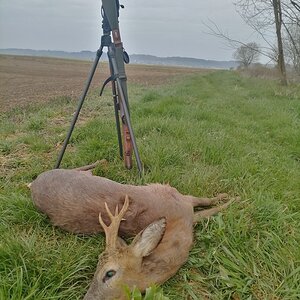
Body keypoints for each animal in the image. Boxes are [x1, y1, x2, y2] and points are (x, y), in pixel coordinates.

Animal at [31, 168, 237, 298]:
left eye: (109, 273)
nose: (87, 298)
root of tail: (33, 184)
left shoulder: (180, 197)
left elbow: (210, 201)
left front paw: (232, 197)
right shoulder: (182, 202)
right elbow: (212, 207)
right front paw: (233, 198)